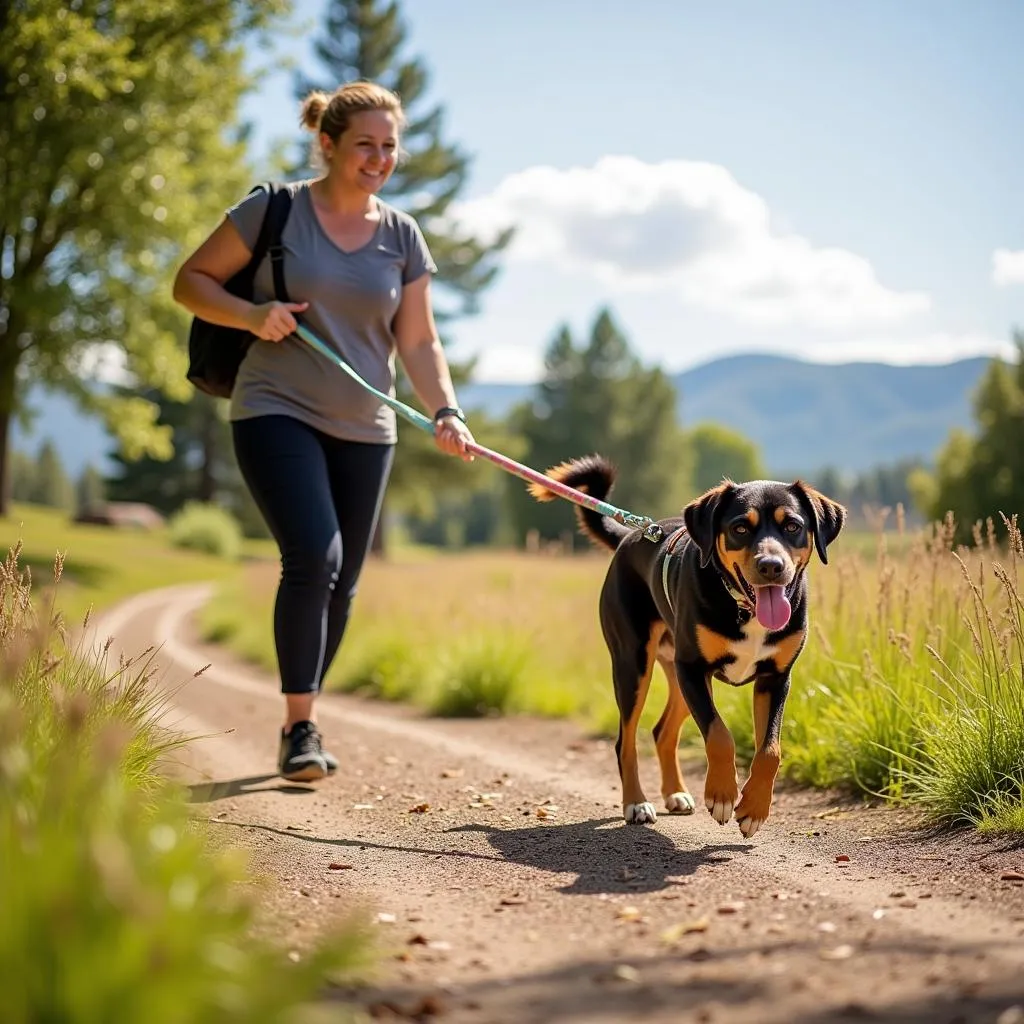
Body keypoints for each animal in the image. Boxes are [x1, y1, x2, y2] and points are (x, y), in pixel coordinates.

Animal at [528, 458, 847, 839]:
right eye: (740, 528)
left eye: (793, 526)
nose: (771, 566)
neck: (744, 608)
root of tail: (633, 534)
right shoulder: (694, 669)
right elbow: (720, 735)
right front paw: (722, 795)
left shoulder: (775, 678)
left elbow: (770, 750)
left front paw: (754, 808)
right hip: (634, 665)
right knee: (626, 740)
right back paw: (636, 803)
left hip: (677, 678)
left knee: (662, 732)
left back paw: (675, 793)